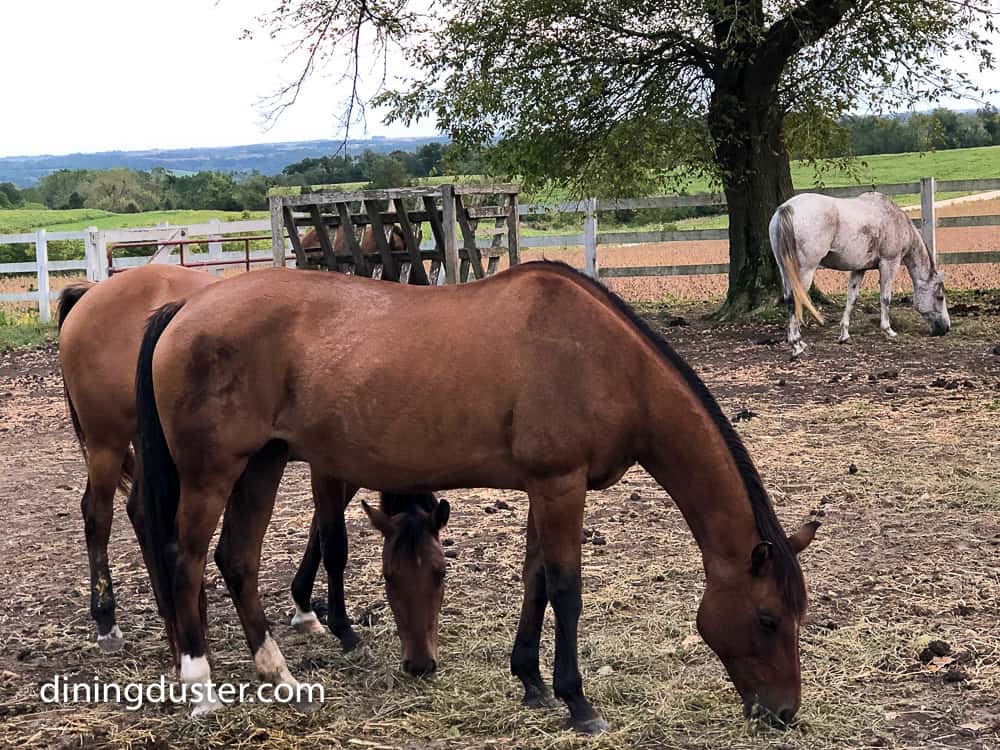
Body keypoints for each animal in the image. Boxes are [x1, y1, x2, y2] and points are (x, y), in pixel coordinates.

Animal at [57, 264, 445, 664]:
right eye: (393, 577)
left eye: (437, 574)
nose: (420, 659)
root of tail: (91, 293)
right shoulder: (327, 468)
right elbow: (333, 541)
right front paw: (341, 626)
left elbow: (316, 534)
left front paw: (305, 607)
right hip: (107, 443)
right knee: (97, 515)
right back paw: (108, 622)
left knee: (141, 512)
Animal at [134, 260, 818, 732]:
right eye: (767, 618)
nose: (783, 712)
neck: (607, 362)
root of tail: (184, 307)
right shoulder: (561, 485)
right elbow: (566, 590)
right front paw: (577, 702)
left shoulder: (546, 487)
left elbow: (536, 579)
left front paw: (532, 681)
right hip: (213, 473)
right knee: (186, 563)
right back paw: (201, 688)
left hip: (263, 465)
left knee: (237, 561)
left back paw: (279, 674)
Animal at [770, 191, 950, 356]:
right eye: (940, 297)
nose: (946, 328)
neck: (894, 220)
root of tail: (787, 208)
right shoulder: (889, 263)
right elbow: (885, 298)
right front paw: (888, 330)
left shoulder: (859, 269)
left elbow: (851, 299)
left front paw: (844, 335)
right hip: (805, 271)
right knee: (795, 300)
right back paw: (797, 345)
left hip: (786, 270)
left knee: (789, 300)